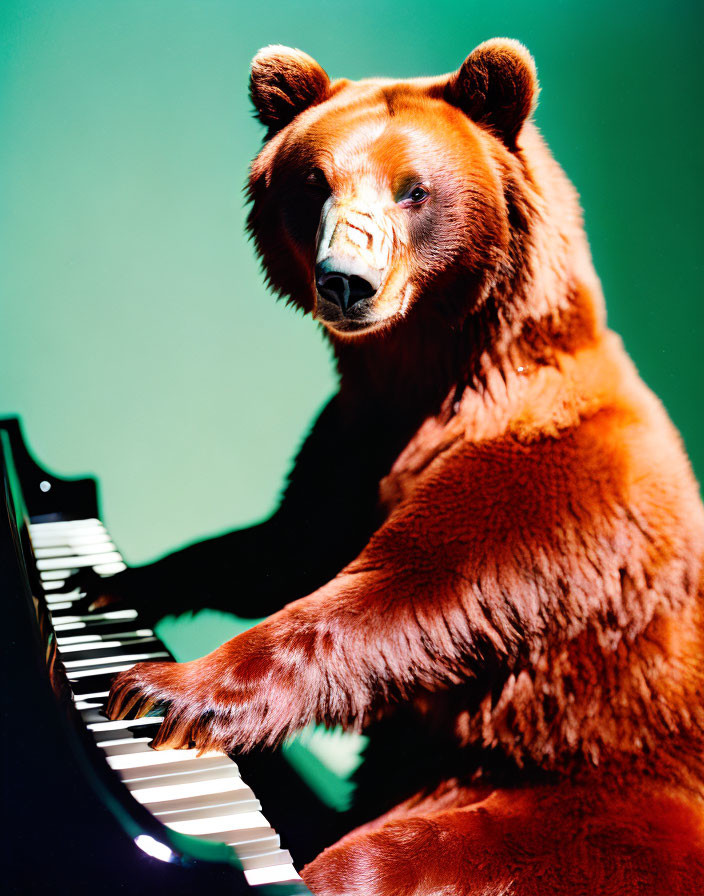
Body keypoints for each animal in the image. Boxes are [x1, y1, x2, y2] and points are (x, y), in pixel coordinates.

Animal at [95, 38, 704, 892]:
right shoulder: (354, 446)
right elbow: (284, 547)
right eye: (314, 183)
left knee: (397, 857)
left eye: (414, 190)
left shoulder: (548, 482)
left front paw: (163, 689)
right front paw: (108, 582)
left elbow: (404, 591)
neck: (431, 372)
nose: (346, 281)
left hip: (582, 809)